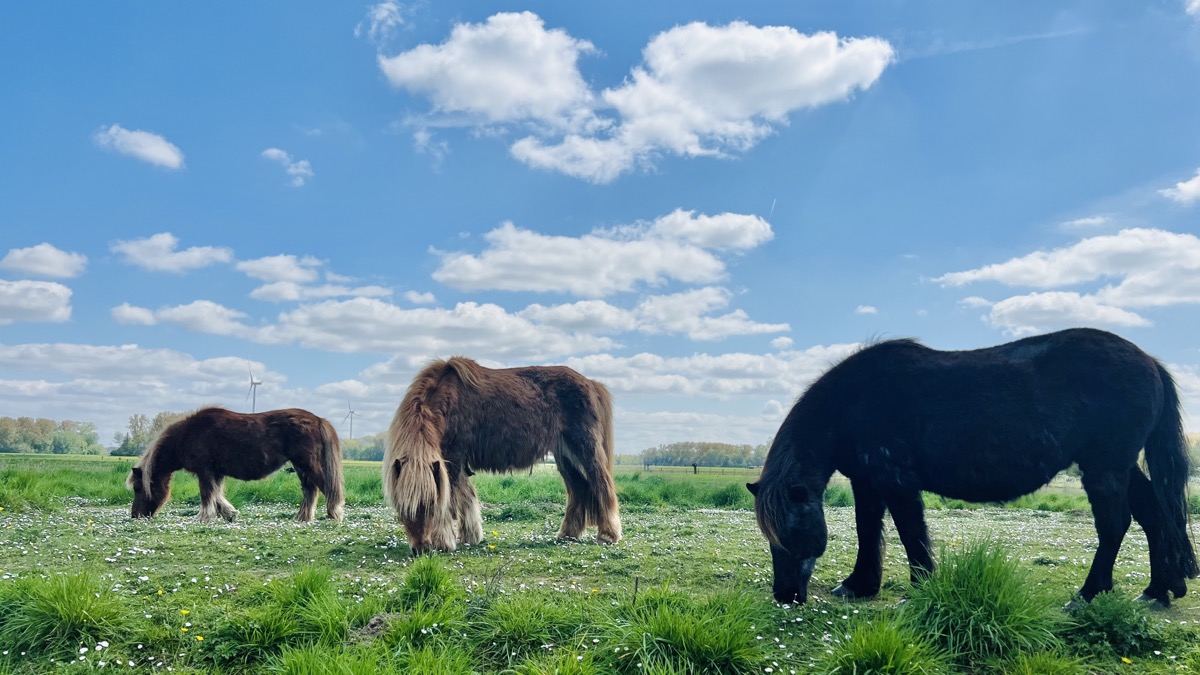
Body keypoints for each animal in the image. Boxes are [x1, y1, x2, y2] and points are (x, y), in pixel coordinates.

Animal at [127, 403, 343, 521]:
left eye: (138, 488)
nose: (135, 515)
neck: (186, 436)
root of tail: (318, 419)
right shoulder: (215, 472)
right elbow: (217, 495)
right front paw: (228, 514)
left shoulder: (205, 471)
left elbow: (207, 494)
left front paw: (204, 517)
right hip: (301, 466)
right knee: (310, 490)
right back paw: (303, 518)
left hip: (307, 464)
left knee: (325, 487)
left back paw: (335, 514)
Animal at [384, 357, 624, 552]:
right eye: (401, 508)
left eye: (429, 505)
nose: (421, 549)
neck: (448, 400)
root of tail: (592, 383)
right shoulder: (454, 462)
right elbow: (466, 496)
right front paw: (470, 536)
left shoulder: (453, 458)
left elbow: (450, 498)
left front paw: (444, 542)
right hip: (565, 456)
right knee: (578, 489)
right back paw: (568, 534)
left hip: (584, 447)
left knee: (601, 483)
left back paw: (608, 535)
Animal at [744, 326, 1195, 605]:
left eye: (793, 530)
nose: (785, 595)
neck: (852, 402)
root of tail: (1151, 362)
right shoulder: (867, 483)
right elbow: (867, 530)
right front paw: (859, 585)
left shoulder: (897, 482)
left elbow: (910, 535)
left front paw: (919, 589)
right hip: (1120, 467)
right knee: (1155, 517)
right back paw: (1157, 591)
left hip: (1104, 468)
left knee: (1116, 524)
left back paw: (1088, 595)